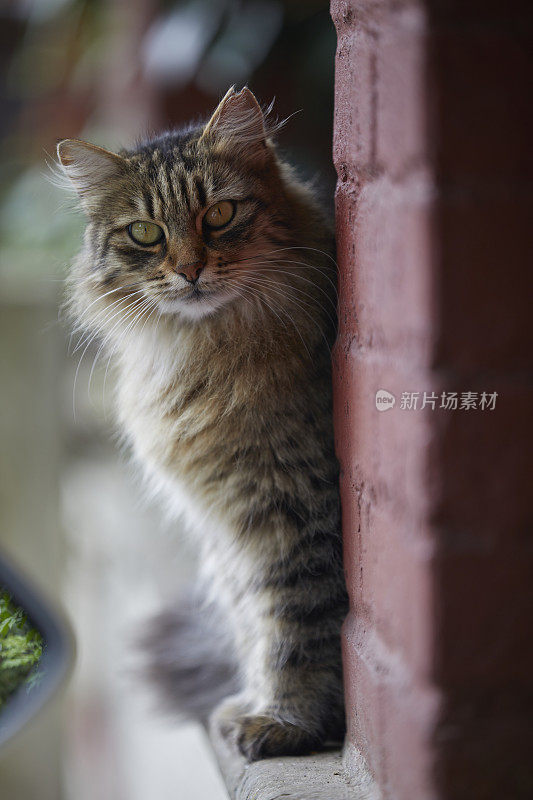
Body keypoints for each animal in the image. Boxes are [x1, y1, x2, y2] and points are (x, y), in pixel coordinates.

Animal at [59, 87, 350, 764]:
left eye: (218, 214)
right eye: (145, 233)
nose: (190, 270)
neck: (205, 355)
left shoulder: (290, 507)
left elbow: (293, 625)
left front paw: (286, 721)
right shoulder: (229, 524)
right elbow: (251, 619)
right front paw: (252, 703)